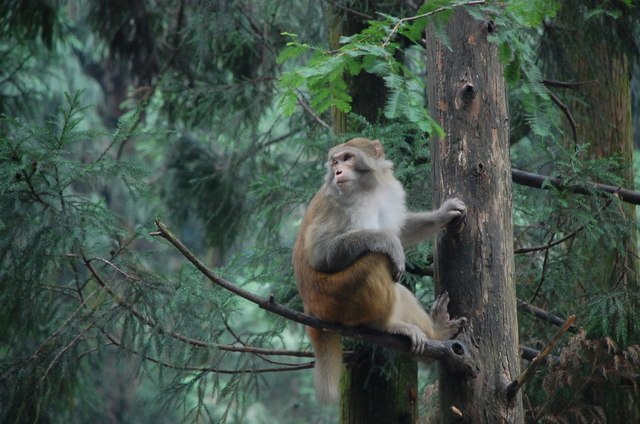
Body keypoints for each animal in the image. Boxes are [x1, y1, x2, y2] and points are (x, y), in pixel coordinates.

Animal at [292, 137, 468, 402]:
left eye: (347, 158)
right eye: (335, 162)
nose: (338, 172)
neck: (367, 189)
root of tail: (312, 309)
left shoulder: (390, 191)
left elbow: (401, 229)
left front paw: (443, 214)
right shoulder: (336, 205)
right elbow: (321, 254)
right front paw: (389, 242)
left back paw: (437, 334)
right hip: (335, 301)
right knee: (376, 259)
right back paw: (384, 325)